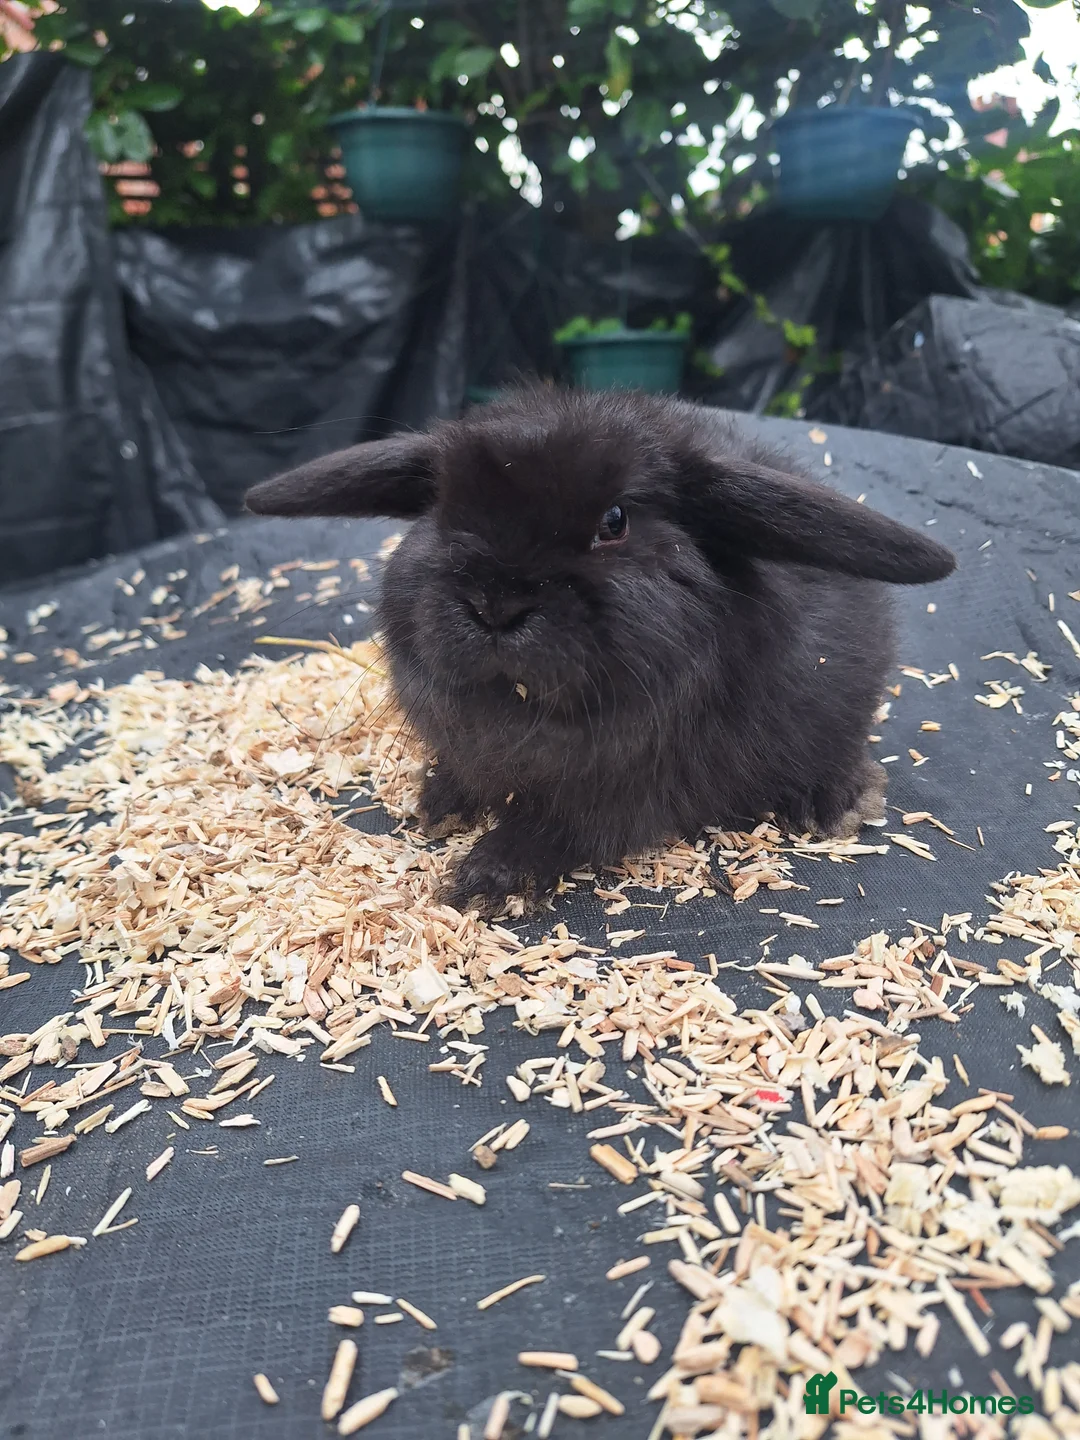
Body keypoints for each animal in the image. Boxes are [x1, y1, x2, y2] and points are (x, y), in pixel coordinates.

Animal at [246, 386, 955, 917]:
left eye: (614, 522)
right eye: (444, 508)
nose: (495, 605)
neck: (524, 710)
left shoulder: (626, 793)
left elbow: (556, 830)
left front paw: (484, 879)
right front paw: (439, 801)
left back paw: (838, 803)